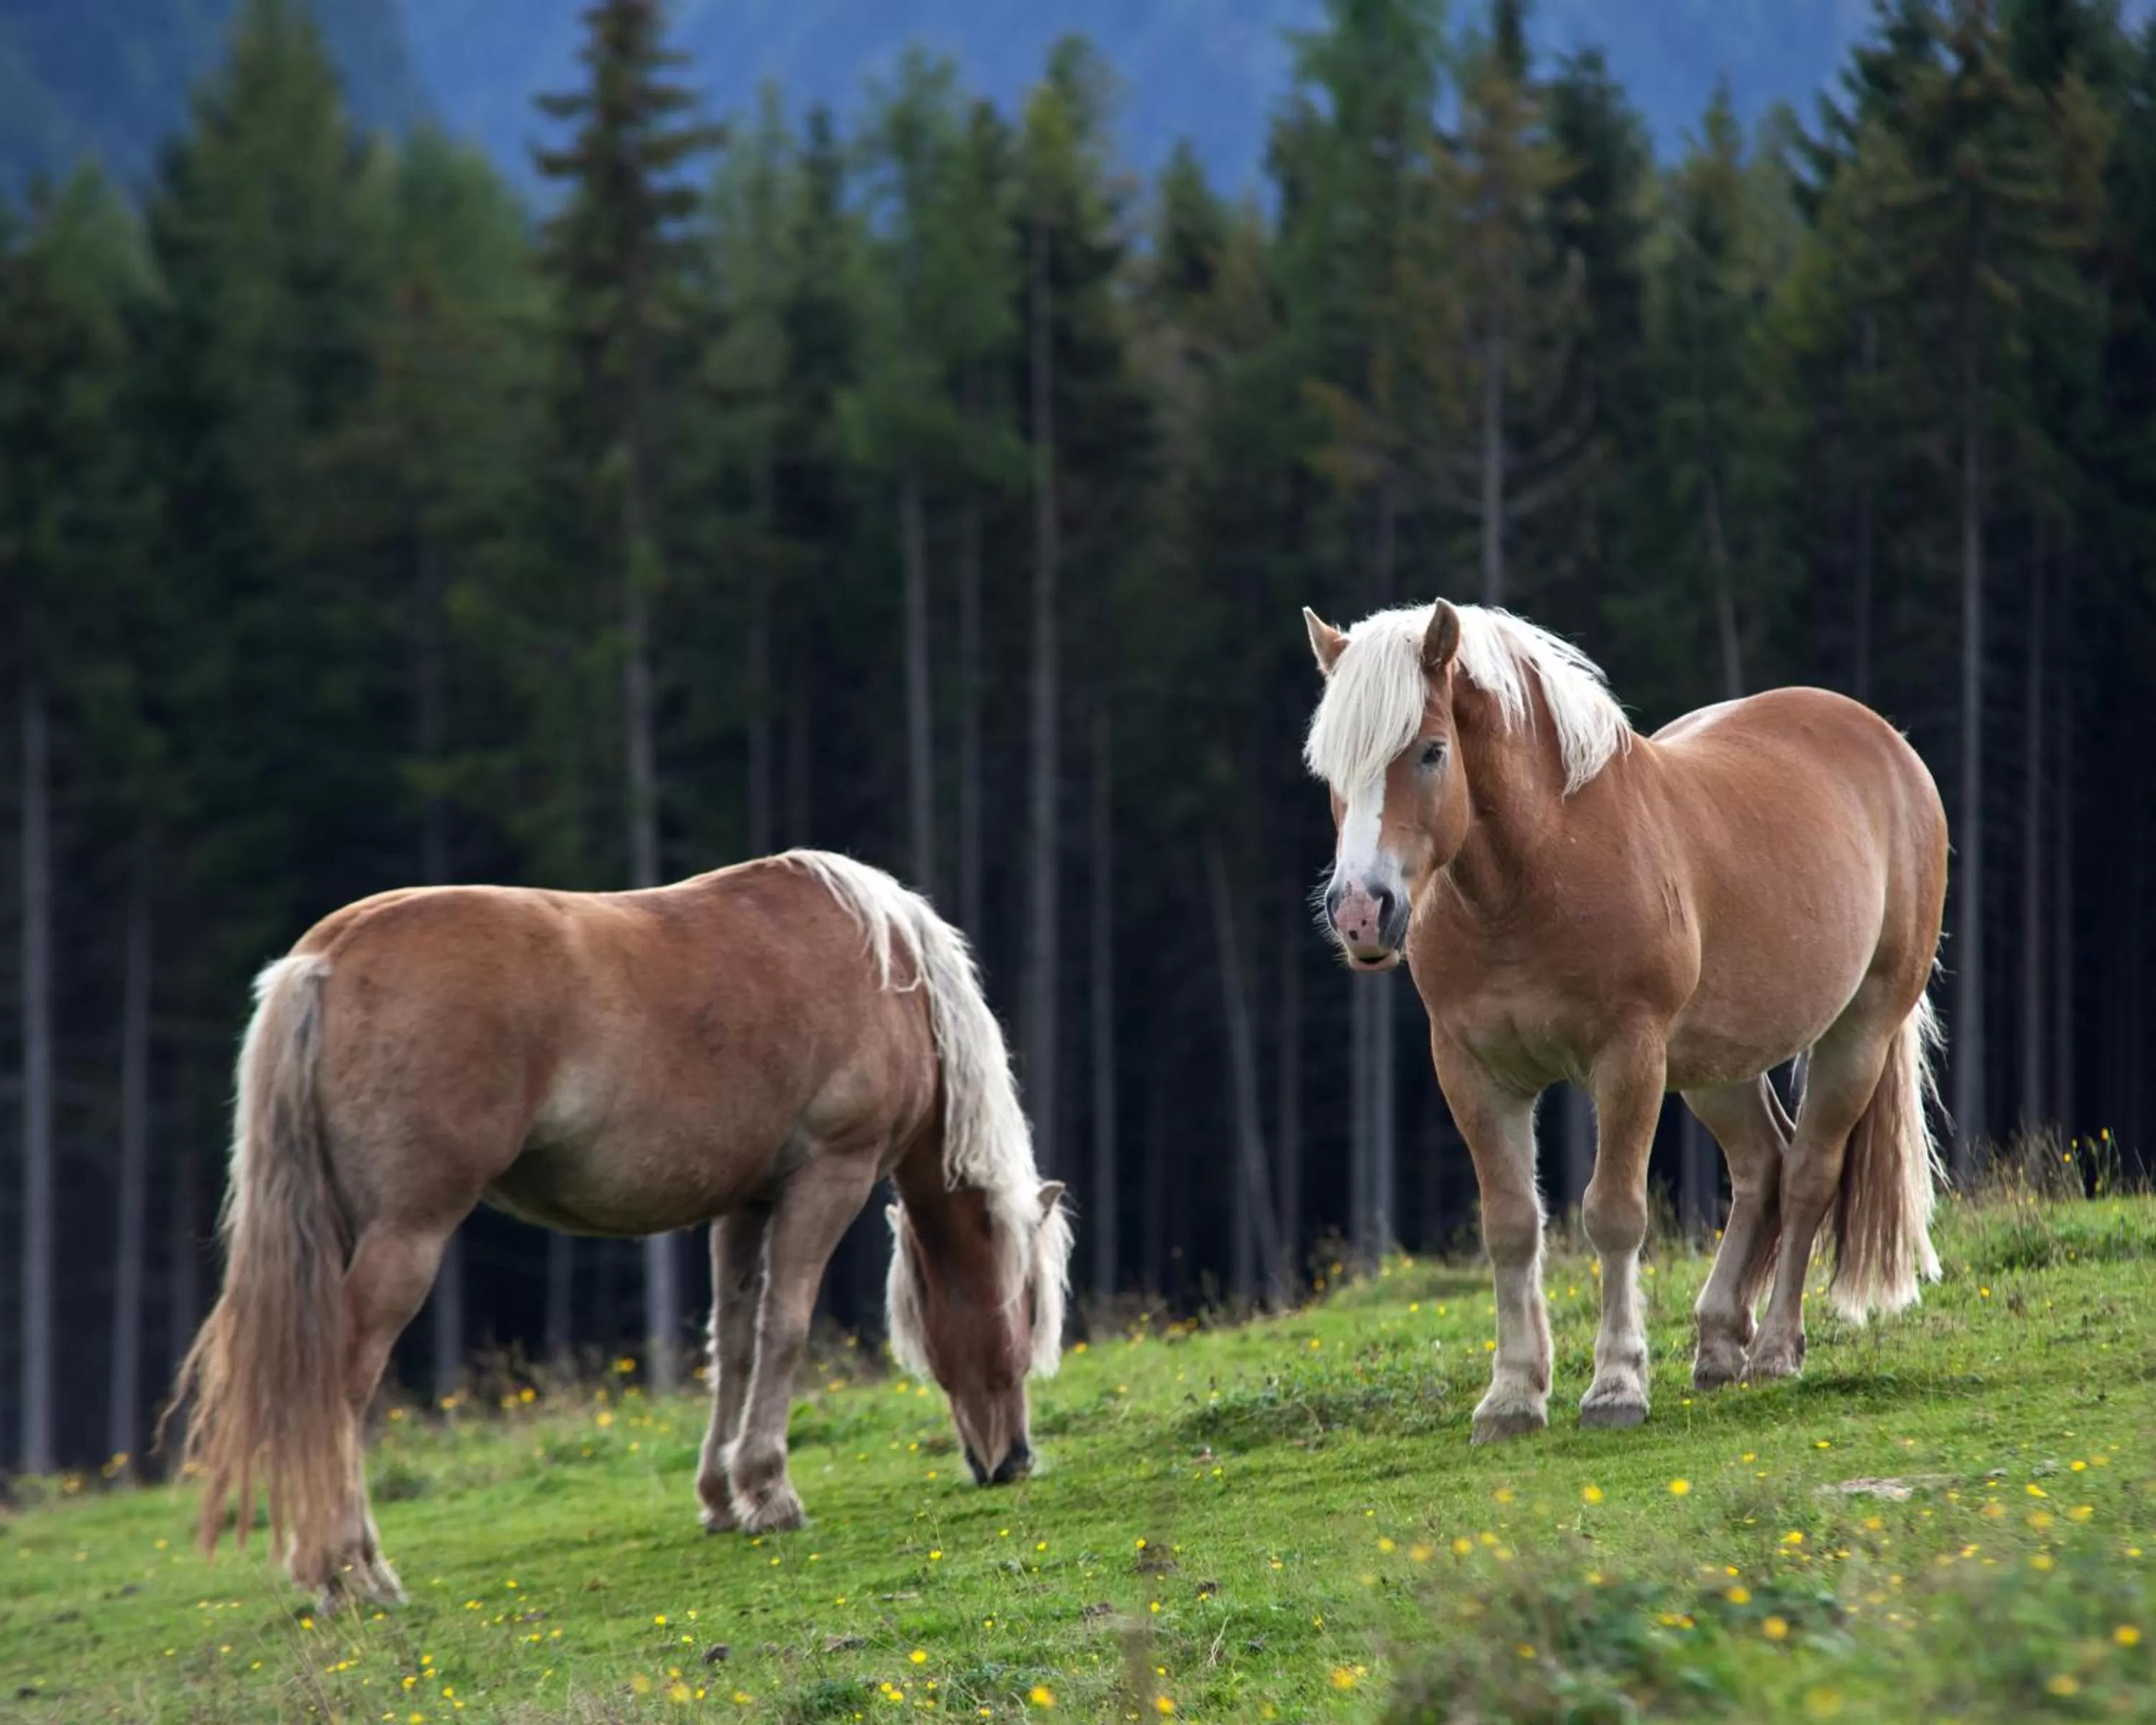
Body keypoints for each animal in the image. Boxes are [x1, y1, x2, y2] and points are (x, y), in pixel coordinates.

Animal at [165, 849, 1072, 1610]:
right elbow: (783, 1331)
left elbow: (733, 1344)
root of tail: (326, 957)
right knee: (344, 1379)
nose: (1014, 1461)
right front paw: (771, 1492)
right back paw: (353, 1570)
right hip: (404, 1235)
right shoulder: (826, 1179)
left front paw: (722, 1498)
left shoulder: (746, 1202)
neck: (888, 976)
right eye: (1027, 1316)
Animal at [1300, 599, 1947, 1442]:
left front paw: (1615, 1387)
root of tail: (1888, 746)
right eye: (1328, 771)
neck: (1539, 873)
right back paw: (1718, 1345)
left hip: (1859, 1030)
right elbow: (1511, 1223)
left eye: (1432, 751)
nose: (1359, 913)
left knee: (1809, 1173)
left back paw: (1775, 1351)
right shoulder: (1474, 1071)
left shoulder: (1628, 1060)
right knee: (1762, 1167)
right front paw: (1512, 1396)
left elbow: (1612, 1214)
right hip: (1716, 1065)